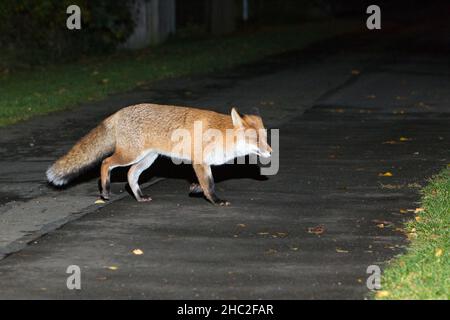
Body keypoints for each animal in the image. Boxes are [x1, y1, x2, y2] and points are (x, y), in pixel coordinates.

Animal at [46, 104, 270, 206]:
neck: (222, 134)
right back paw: (106, 191)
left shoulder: (202, 164)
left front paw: (195, 189)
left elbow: (202, 183)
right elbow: (210, 184)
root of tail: (119, 112)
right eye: (255, 139)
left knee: (130, 175)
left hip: (147, 160)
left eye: (266, 138)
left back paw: (139, 196)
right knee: (105, 162)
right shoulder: (199, 161)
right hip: (130, 155)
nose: (271, 151)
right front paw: (215, 200)